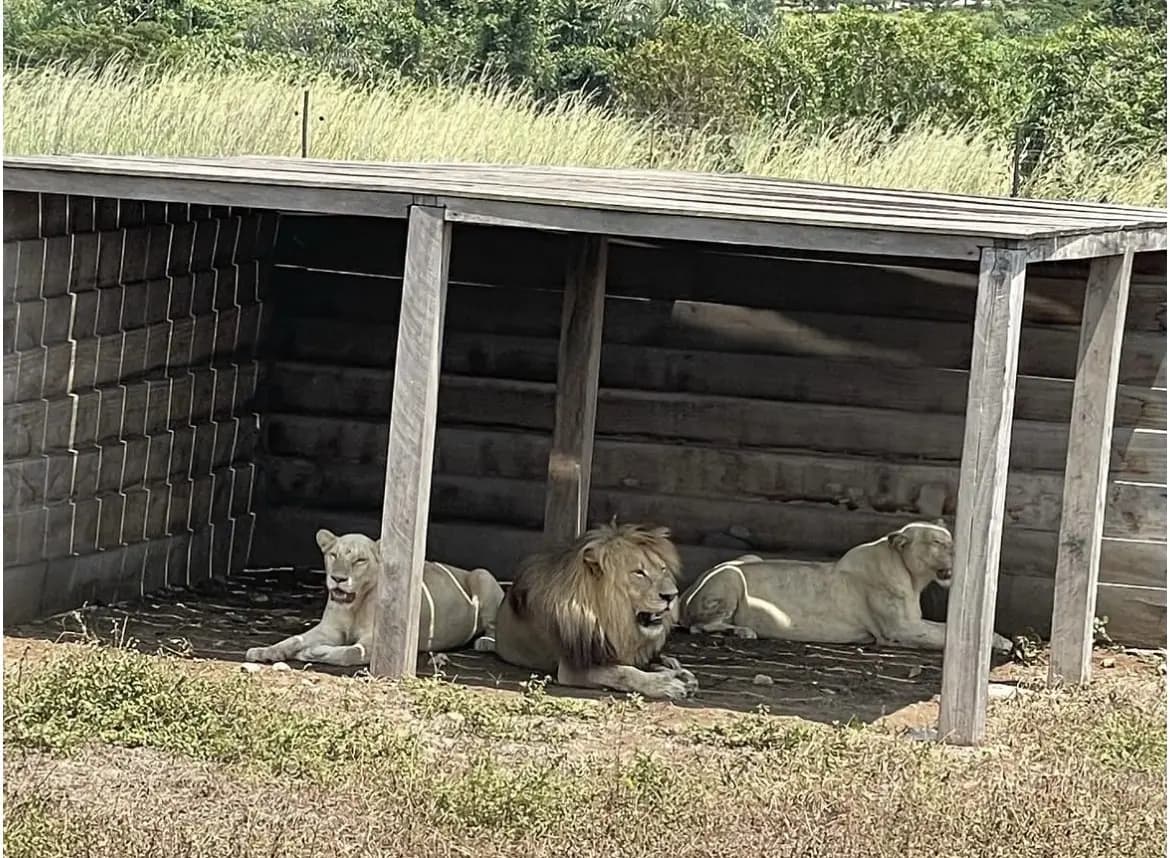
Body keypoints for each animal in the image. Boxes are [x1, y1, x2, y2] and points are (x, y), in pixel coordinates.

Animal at [244, 529, 505, 667]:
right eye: (333, 555)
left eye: (360, 560)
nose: (338, 578)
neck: (354, 605)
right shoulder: (328, 630)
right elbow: (294, 639)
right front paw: (264, 651)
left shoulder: (375, 641)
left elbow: (348, 653)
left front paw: (312, 653)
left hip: (482, 575)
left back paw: (485, 642)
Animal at [493, 521, 700, 700]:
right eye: (639, 573)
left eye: (663, 569)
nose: (672, 595)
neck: (613, 620)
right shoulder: (573, 668)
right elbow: (624, 672)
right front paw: (665, 684)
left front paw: (677, 673)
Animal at [680, 520, 1014, 654]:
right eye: (938, 542)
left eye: (949, 539)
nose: (962, 552)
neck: (912, 576)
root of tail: (684, 594)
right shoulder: (901, 630)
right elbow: (944, 634)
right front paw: (1002, 643)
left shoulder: (910, 624)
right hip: (732, 575)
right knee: (701, 626)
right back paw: (744, 631)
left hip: (749, 558)